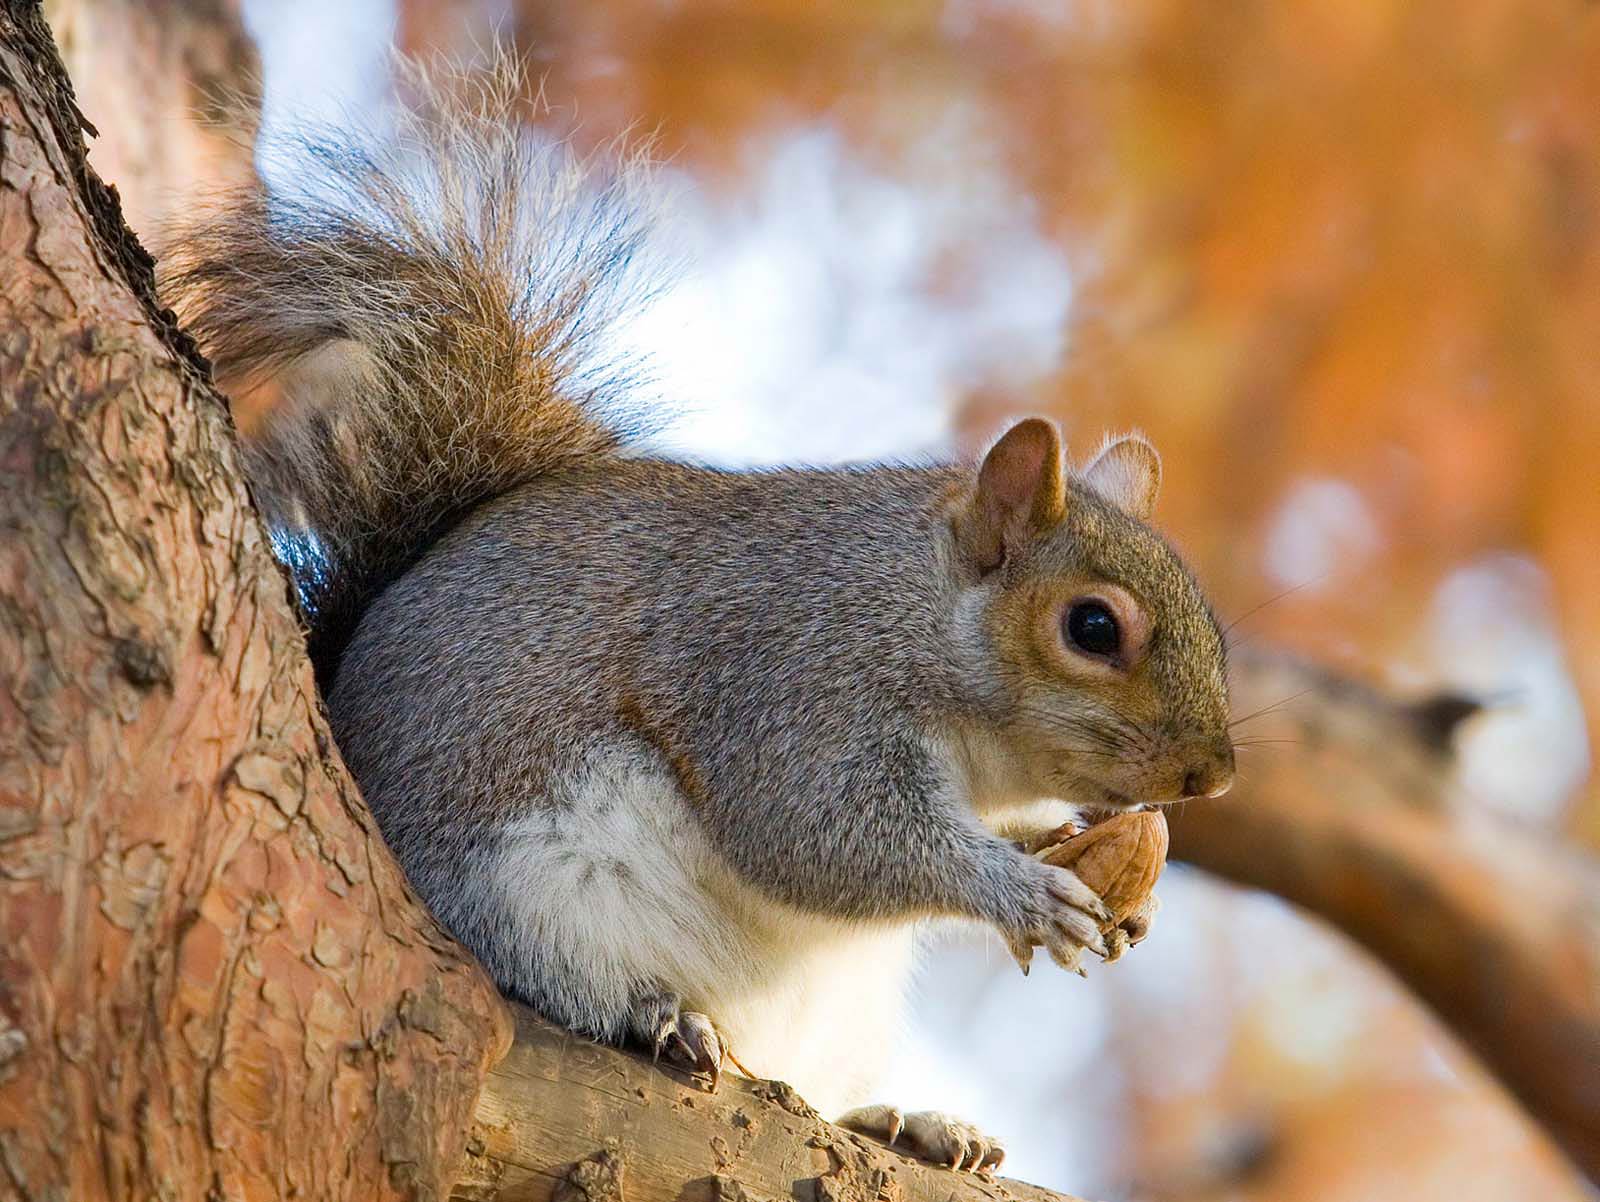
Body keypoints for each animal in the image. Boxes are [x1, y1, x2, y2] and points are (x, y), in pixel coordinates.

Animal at [165, 59, 1234, 1172]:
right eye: (1093, 628)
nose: (1213, 774)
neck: (918, 618)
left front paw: (1092, 864)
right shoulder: (786, 678)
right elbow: (818, 831)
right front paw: (1016, 889)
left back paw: (905, 1120)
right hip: (525, 893)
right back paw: (658, 1015)